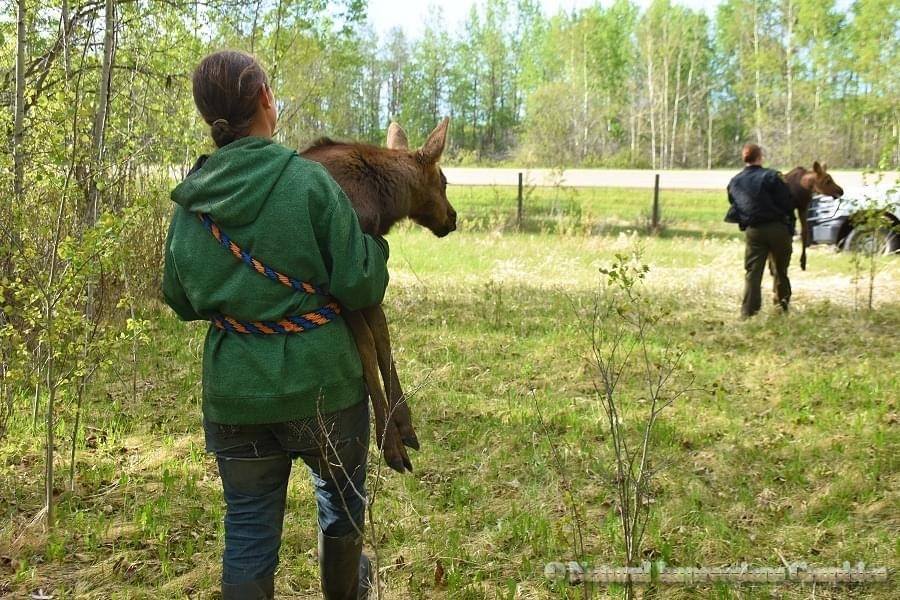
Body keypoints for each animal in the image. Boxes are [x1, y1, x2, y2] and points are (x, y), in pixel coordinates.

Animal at [301, 118, 456, 474]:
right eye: (443, 181)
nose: (454, 217)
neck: (384, 203)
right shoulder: (344, 275)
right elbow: (368, 345)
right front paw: (391, 443)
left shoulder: (367, 267)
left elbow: (382, 337)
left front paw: (404, 426)